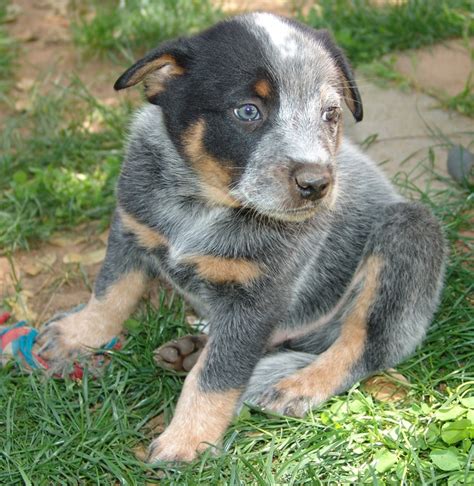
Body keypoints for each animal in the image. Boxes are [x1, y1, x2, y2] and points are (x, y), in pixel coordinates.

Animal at [38, 13, 448, 464]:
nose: (317, 183)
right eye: (248, 111)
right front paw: (79, 333)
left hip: (408, 231)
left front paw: (188, 439)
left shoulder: (258, 298)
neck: (202, 203)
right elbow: (111, 291)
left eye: (330, 113)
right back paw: (192, 349)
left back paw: (298, 384)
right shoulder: (131, 227)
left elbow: (217, 377)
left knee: (362, 345)